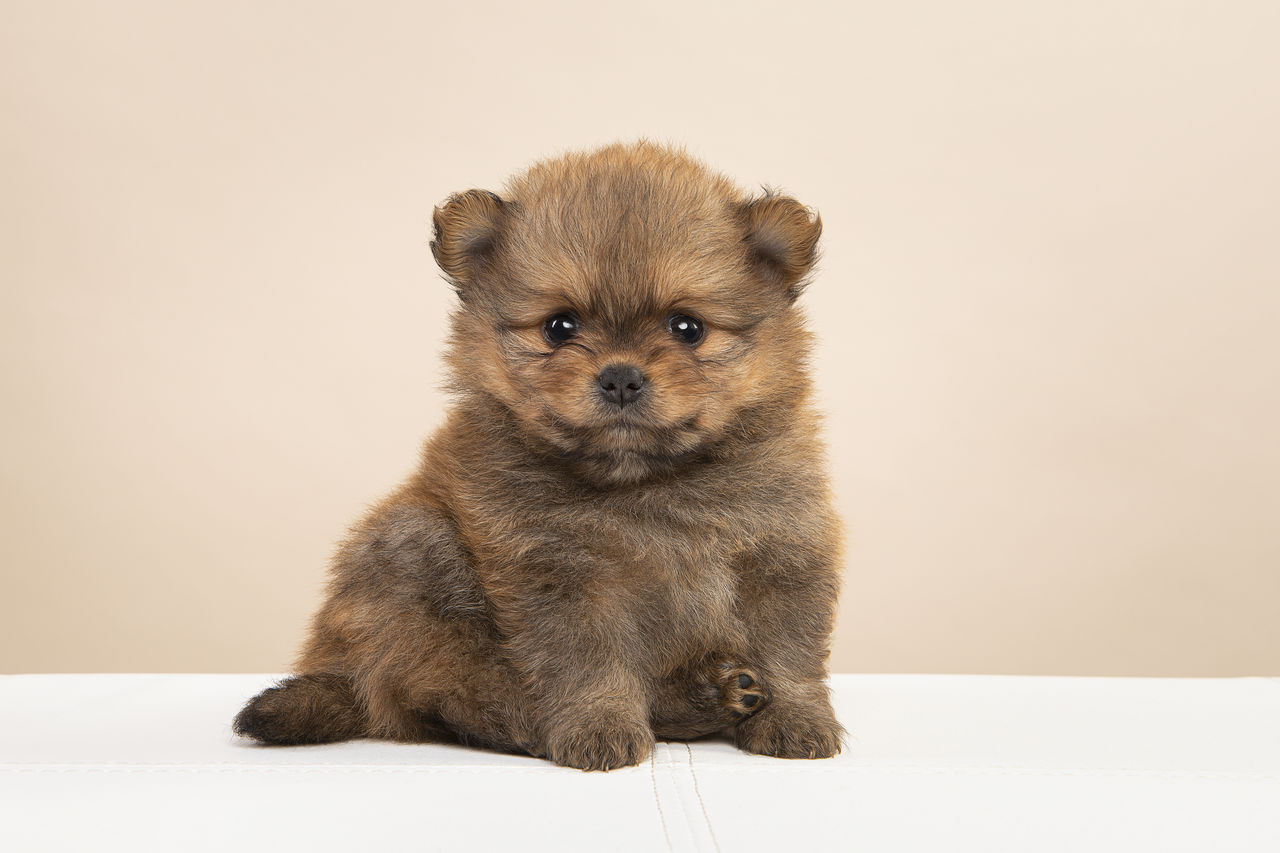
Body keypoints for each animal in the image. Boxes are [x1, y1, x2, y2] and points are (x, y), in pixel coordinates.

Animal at [235, 142, 844, 768]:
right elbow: (585, 661)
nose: (621, 377)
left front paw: (795, 720)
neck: (645, 484)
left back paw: (715, 694)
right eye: (559, 326)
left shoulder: (782, 552)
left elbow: (788, 652)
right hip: (416, 555)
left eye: (687, 328)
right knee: (458, 695)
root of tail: (343, 670)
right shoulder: (558, 571)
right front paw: (598, 727)